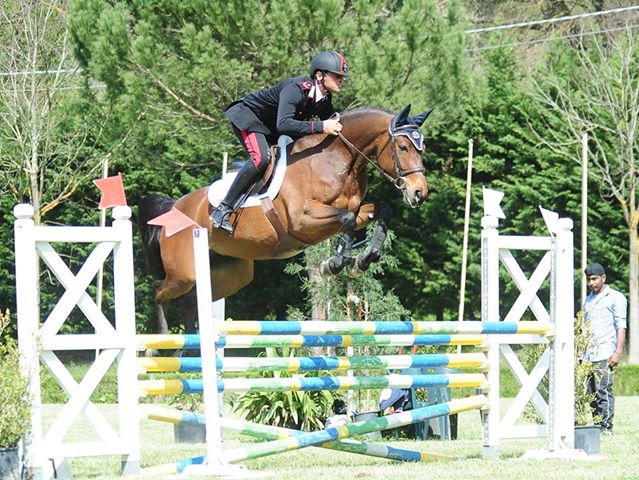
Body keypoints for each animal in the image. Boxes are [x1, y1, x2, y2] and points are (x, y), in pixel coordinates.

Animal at [138, 103, 432, 324]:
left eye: (422, 148)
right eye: (403, 147)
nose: (420, 193)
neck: (335, 160)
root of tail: (173, 209)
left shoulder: (355, 210)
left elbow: (382, 211)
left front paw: (364, 259)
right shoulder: (304, 221)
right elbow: (346, 221)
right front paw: (335, 263)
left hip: (230, 275)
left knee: (190, 301)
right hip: (183, 273)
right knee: (159, 292)